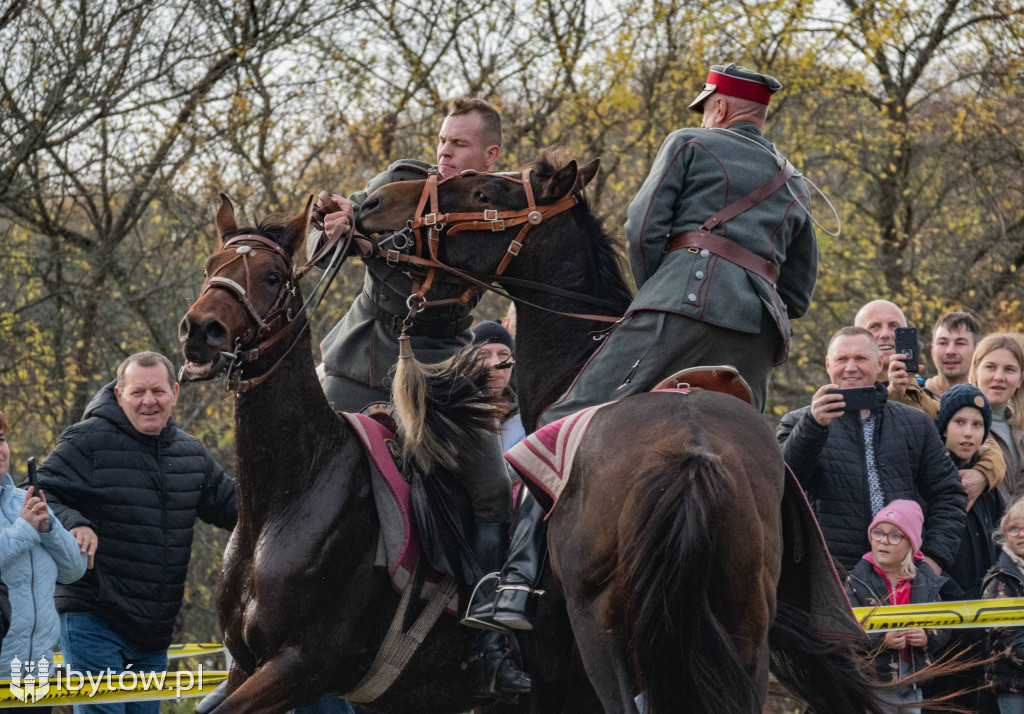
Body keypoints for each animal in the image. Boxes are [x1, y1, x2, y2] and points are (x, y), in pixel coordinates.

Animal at [176, 194, 520, 712]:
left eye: (272, 276)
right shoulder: (243, 666)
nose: (201, 330)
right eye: (210, 266)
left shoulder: (298, 666)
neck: (289, 492)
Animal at [360, 155, 888, 712]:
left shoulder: (554, 673)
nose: (374, 201)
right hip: (744, 630)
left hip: (603, 633)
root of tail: (692, 454)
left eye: (486, 191)